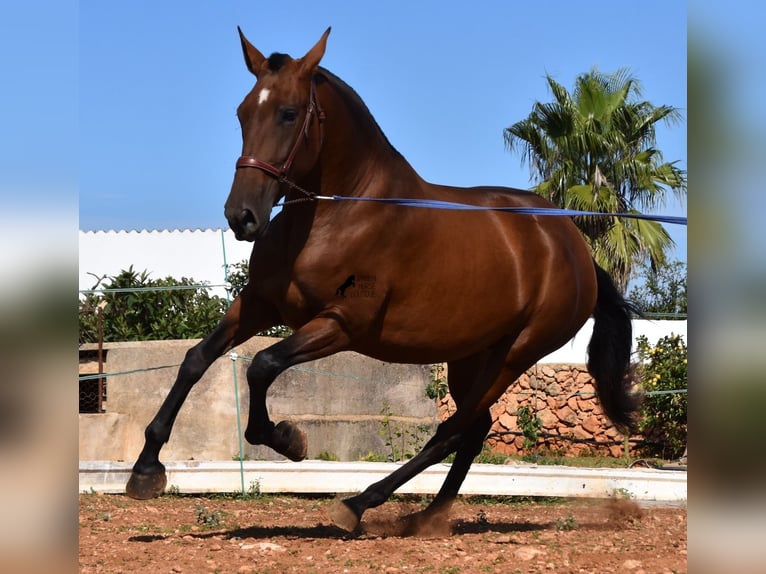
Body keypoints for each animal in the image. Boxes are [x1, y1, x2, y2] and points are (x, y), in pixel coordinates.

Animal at [127, 28, 640, 536]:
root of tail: (575, 248)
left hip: (515, 354)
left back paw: (359, 504)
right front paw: (146, 471)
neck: (338, 213)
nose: (242, 217)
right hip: (470, 357)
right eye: (243, 111)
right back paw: (425, 517)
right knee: (473, 430)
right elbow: (195, 360)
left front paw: (289, 439)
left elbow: (263, 366)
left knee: (453, 430)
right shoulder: (258, 304)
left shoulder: (340, 323)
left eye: (288, 113)